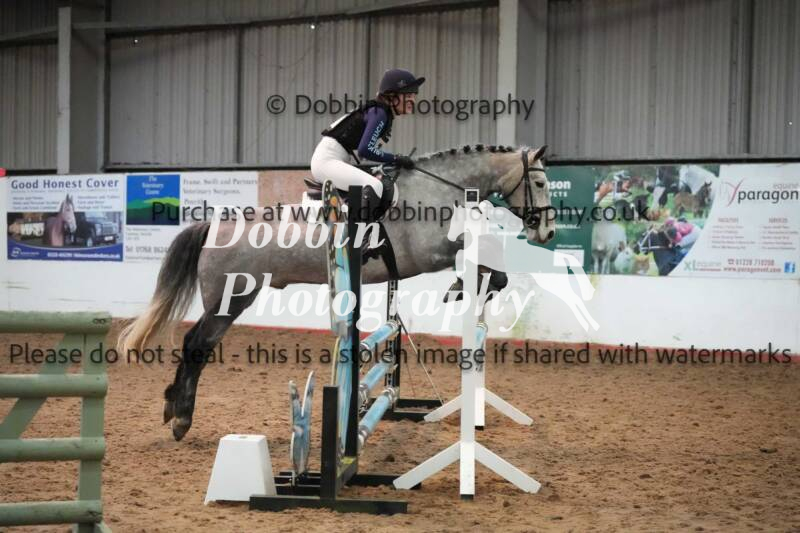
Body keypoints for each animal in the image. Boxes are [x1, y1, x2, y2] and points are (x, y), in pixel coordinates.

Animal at [118, 144, 554, 441]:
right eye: (539, 182)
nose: (547, 233)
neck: (434, 190)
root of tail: (213, 224)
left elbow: (485, 257)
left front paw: (470, 286)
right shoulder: (430, 252)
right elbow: (480, 253)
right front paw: (462, 286)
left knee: (198, 347)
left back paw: (174, 408)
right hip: (231, 299)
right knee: (196, 344)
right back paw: (180, 416)